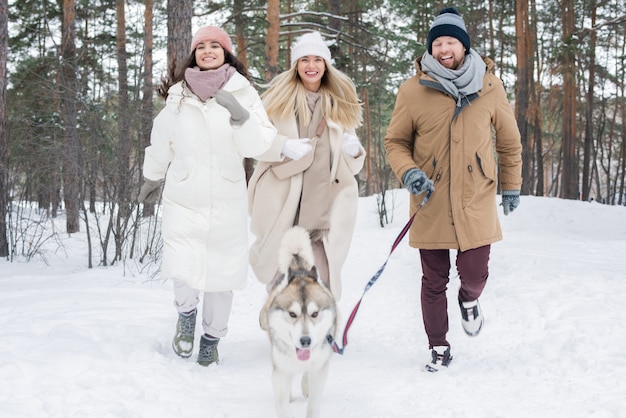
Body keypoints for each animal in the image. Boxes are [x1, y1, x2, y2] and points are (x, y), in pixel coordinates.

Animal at [258, 225, 336, 418]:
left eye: (315, 313)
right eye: (292, 314)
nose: (305, 341)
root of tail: (299, 266)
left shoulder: (319, 367)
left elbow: (314, 404)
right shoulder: (280, 370)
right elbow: (282, 403)